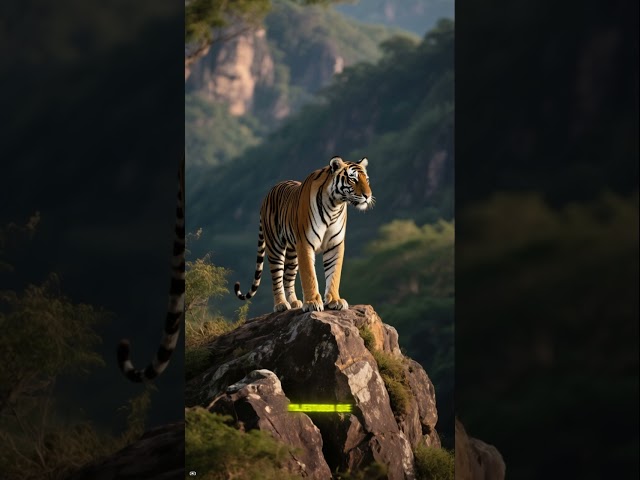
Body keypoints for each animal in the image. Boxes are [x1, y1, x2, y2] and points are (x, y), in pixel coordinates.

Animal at [235, 156, 373, 313]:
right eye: (353, 179)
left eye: (366, 179)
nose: (368, 196)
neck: (335, 205)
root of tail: (268, 194)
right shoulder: (306, 244)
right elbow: (309, 275)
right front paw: (313, 303)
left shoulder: (335, 244)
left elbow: (334, 273)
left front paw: (334, 300)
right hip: (275, 247)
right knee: (277, 277)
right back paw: (281, 304)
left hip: (293, 253)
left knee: (287, 278)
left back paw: (295, 302)